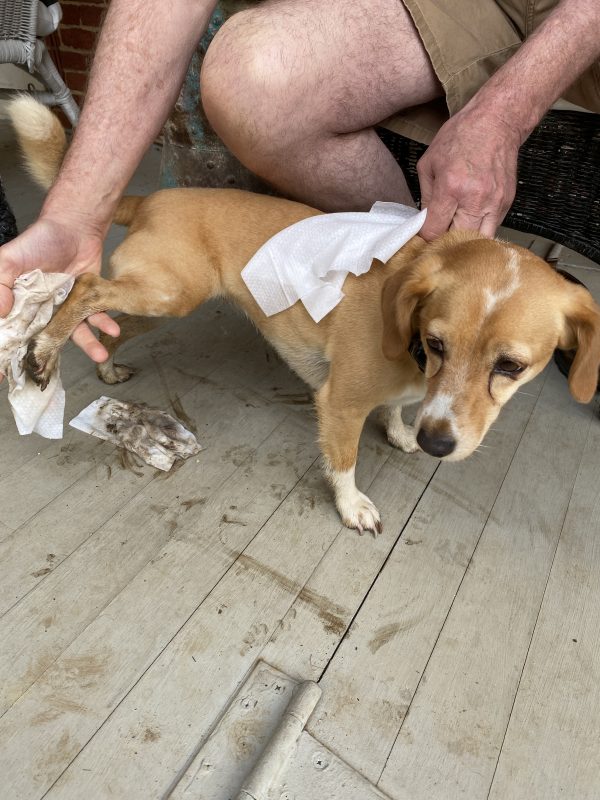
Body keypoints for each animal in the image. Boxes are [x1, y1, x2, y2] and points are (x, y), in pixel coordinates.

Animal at [9, 98, 600, 532]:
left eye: (512, 367)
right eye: (436, 344)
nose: (437, 446)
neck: (410, 351)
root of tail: (152, 199)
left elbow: (394, 412)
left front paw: (401, 433)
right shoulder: (339, 404)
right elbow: (343, 462)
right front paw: (352, 506)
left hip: (159, 301)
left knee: (105, 323)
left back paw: (104, 366)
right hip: (164, 294)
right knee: (85, 289)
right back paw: (41, 353)